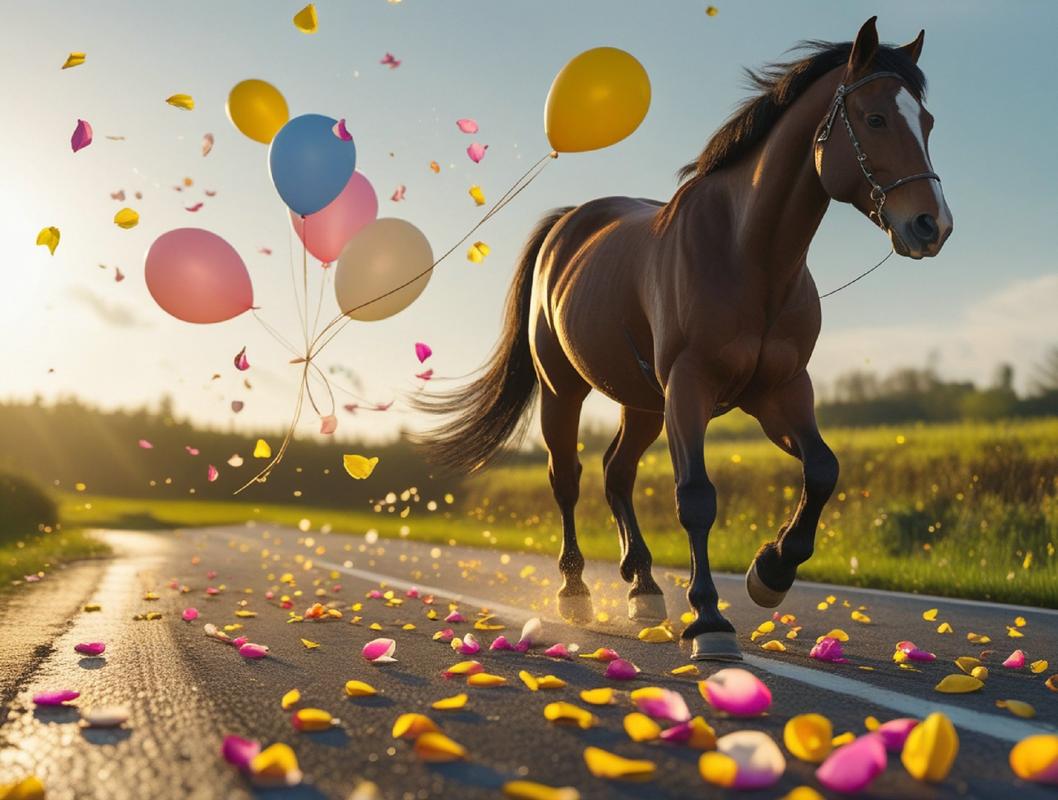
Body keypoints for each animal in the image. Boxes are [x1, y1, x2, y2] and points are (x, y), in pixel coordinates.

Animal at [415, 17, 953, 660]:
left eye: (926, 122)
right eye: (874, 119)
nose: (932, 225)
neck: (748, 256)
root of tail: (568, 224)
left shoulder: (781, 392)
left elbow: (823, 470)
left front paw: (770, 572)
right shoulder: (689, 388)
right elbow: (696, 497)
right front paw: (711, 621)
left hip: (644, 404)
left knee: (616, 472)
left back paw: (643, 585)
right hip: (565, 391)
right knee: (567, 478)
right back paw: (576, 591)